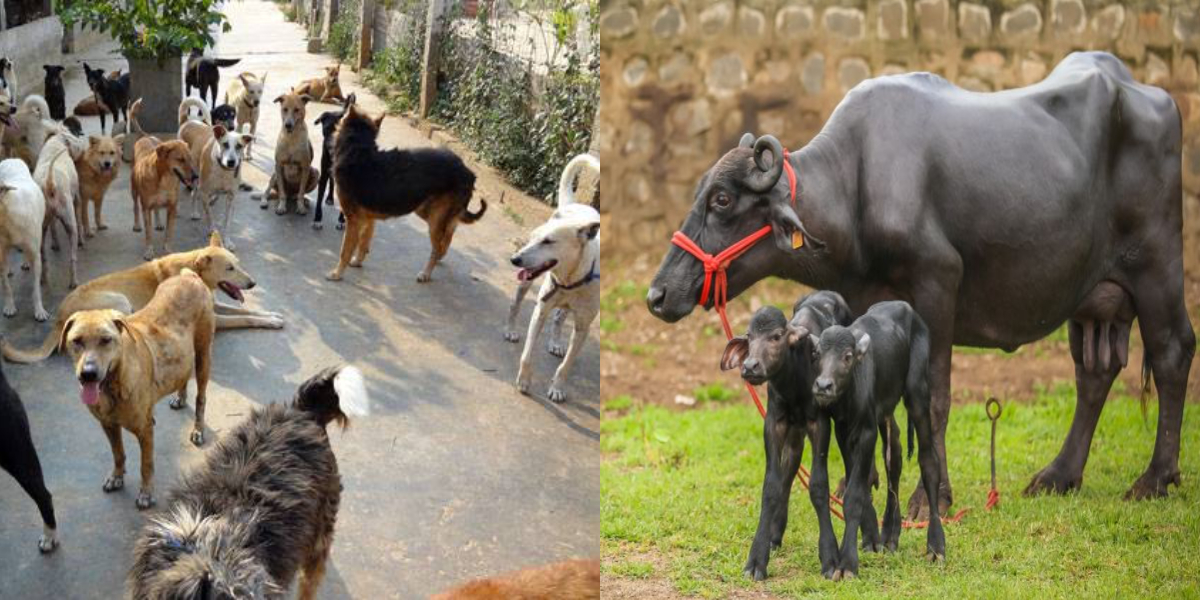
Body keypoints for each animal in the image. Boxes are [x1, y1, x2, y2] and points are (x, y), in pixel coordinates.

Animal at [646, 52, 1194, 518]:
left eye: (721, 199)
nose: (657, 294)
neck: (857, 185)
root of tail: (1146, 92)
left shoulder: (937, 289)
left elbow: (933, 399)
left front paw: (932, 498)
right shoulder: (861, 303)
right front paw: (857, 483)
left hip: (1157, 264)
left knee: (1172, 351)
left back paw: (1155, 478)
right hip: (1091, 295)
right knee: (1094, 372)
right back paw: (1060, 474)